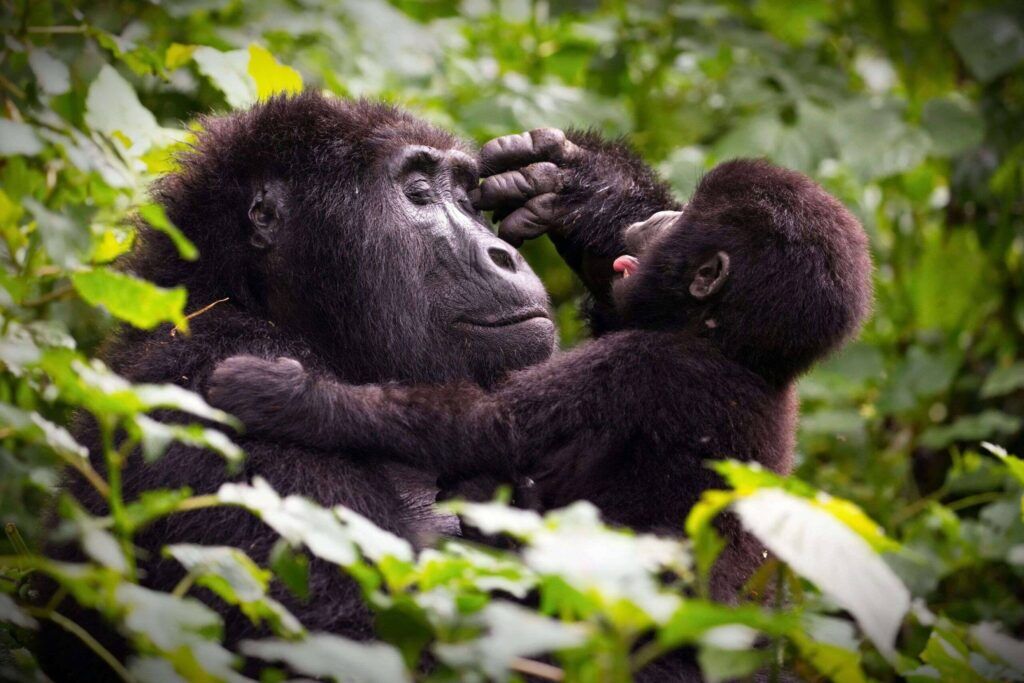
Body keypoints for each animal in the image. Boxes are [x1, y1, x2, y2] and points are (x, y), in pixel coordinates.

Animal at [205, 158, 872, 593]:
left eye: (676, 225)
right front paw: (584, 182)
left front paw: (283, 396)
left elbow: (481, 427)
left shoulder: (637, 367)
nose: (645, 223)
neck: (731, 345)